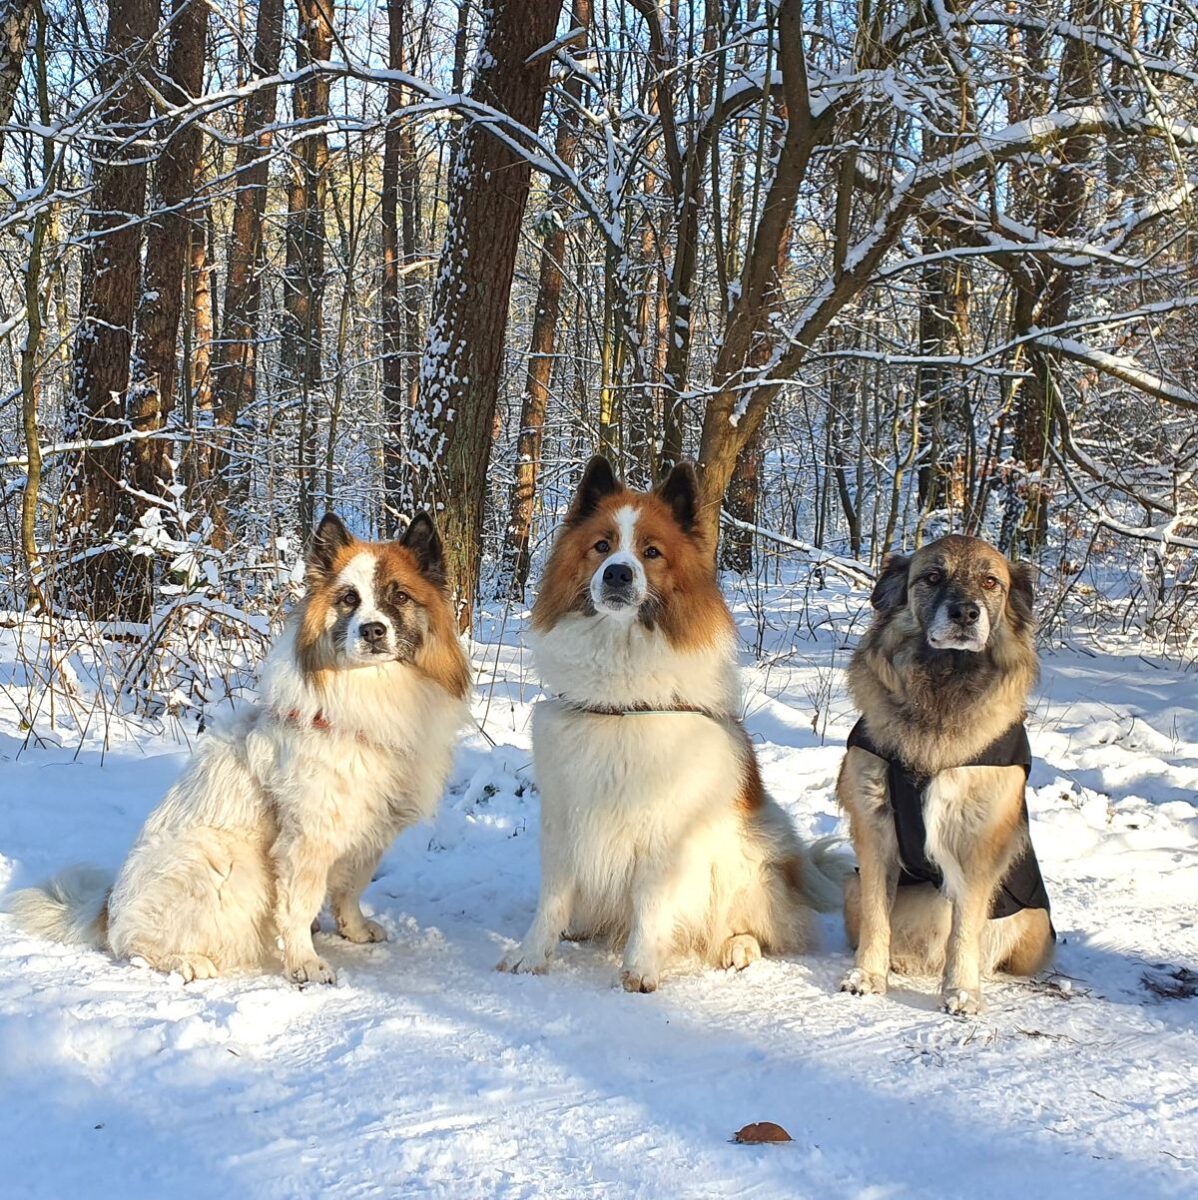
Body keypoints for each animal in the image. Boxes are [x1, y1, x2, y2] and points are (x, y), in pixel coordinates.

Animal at [8, 513, 468, 984]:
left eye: (399, 596)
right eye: (348, 599)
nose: (373, 630)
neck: (375, 693)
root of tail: (108, 908)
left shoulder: (369, 830)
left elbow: (351, 888)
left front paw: (353, 930)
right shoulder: (308, 835)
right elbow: (300, 904)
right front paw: (305, 963)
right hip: (224, 863)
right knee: (135, 947)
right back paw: (187, 961)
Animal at [496, 453, 845, 988]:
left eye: (651, 552)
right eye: (602, 547)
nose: (618, 574)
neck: (621, 701)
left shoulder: (664, 827)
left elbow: (651, 903)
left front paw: (639, 969)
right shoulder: (565, 814)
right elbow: (552, 899)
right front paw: (532, 956)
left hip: (748, 856)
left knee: (762, 926)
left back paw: (739, 946)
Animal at [840, 535, 1056, 1012]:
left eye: (991, 582)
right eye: (933, 577)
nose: (965, 613)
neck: (943, 686)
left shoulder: (977, 844)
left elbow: (964, 927)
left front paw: (961, 990)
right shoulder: (875, 833)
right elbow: (878, 917)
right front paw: (868, 975)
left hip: (1035, 924)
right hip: (851, 887)